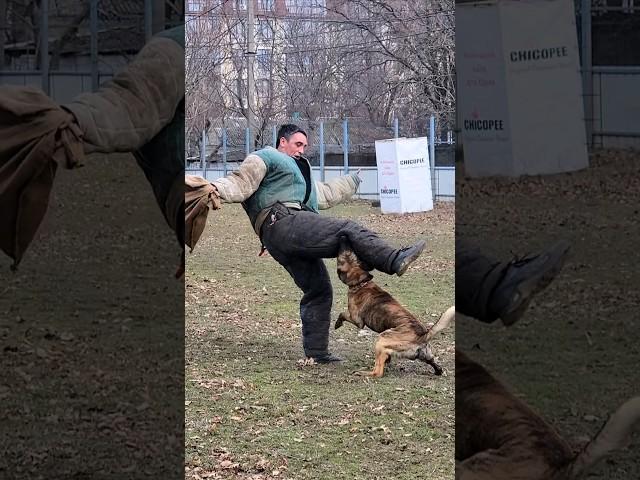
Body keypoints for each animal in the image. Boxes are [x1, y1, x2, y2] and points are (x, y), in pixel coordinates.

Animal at [332, 238, 452, 376]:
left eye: (342, 256)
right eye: (352, 254)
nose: (343, 237)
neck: (361, 283)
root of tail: (423, 336)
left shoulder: (357, 320)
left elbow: (342, 314)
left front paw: (337, 324)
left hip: (382, 339)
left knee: (377, 372)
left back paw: (362, 372)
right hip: (425, 354)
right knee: (435, 364)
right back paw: (437, 370)